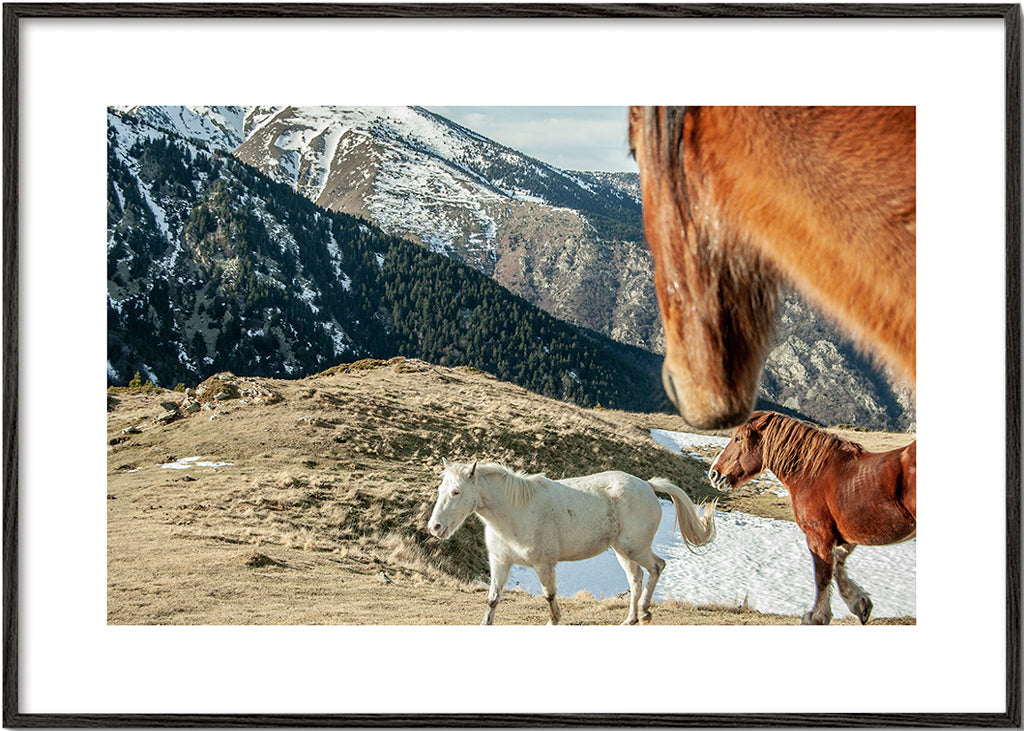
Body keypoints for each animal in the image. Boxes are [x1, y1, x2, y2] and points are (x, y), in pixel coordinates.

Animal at [428, 459, 717, 625]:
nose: (435, 527)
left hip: (635, 547)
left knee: (656, 567)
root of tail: (647, 485)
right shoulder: (500, 563)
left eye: (456, 492)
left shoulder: (544, 564)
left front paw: (554, 621)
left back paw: (645, 612)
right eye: (441, 490)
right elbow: (493, 599)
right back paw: (631, 619)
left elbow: (549, 595)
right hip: (622, 550)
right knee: (636, 579)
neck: (516, 510)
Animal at [708, 411, 916, 624]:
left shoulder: (819, 536)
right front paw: (860, 604)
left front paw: (816, 617)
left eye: (738, 439)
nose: (714, 474)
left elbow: (823, 575)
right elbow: (837, 566)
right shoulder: (847, 537)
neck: (813, 474)